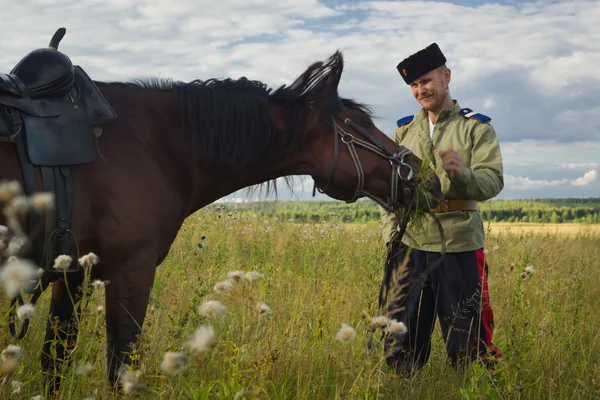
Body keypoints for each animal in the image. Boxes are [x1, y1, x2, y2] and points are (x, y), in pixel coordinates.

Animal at [0, 28, 440, 394]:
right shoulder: (130, 270)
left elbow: (55, 362)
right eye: (360, 121)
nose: (425, 176)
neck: (151, 144)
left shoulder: (72, 272)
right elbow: (120, 370)